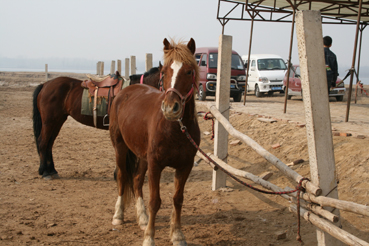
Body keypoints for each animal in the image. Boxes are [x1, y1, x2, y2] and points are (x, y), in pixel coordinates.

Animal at [30, 67, 160, 179]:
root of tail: (45, 85)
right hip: (48, 121)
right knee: (42, 142)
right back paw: (45, 172)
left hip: (57, 121)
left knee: (49, 144)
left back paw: (52, 170)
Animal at [109, 37, 200, 245]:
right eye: (164, 72)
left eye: (189, 71)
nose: (171, 108)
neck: (175, 130)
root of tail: (125, 91)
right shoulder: (156, 164)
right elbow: (155, 201)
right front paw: (149, 238)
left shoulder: (185, 166)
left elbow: (177, 199)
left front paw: (177, 235)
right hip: (120, 147)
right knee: (122, 177)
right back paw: (118, 215)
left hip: (142, 156)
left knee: (136, 180)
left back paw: (142, 218)